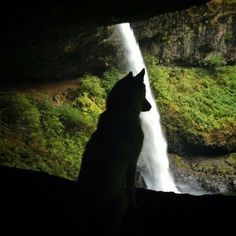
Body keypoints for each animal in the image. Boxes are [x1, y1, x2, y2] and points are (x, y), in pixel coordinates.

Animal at [77, 68, 151, 234]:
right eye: (145, 92)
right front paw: (135, 208)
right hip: (121, 199)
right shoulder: (133, 162)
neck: (122, 110)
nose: (151, 107)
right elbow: (132, 189)